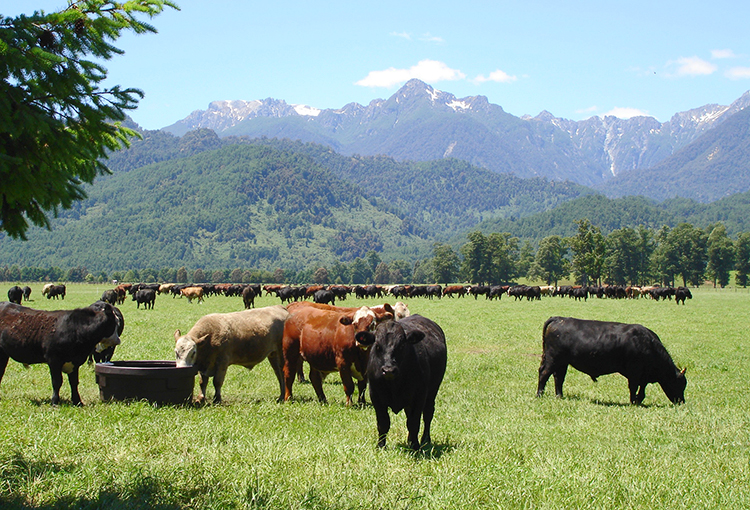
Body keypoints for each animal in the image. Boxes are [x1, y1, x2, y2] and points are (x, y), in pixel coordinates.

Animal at [356, 314, 446, 450]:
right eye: (377, 346)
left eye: (402, 346)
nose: (388, 370)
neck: (394, 385)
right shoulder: (376, 396)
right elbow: (383, 423)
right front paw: (381, 446)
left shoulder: (419, 396)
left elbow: (414, 423)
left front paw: (415, 446)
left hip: (432, 391)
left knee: (428, 414)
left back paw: (425, 439)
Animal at [536, 316, 692, 404]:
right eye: (679, 384)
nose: (682, 402)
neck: (648, 343)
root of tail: (559, 319)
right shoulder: (634, 372)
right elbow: (633, 387)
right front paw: (632, 402)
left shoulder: (643, 375)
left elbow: (642, 390)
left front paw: (638, 400)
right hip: (553, 358)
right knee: (544, 373)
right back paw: (539, 395)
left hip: (562, 362)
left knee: (558, 378)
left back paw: (559, 396)